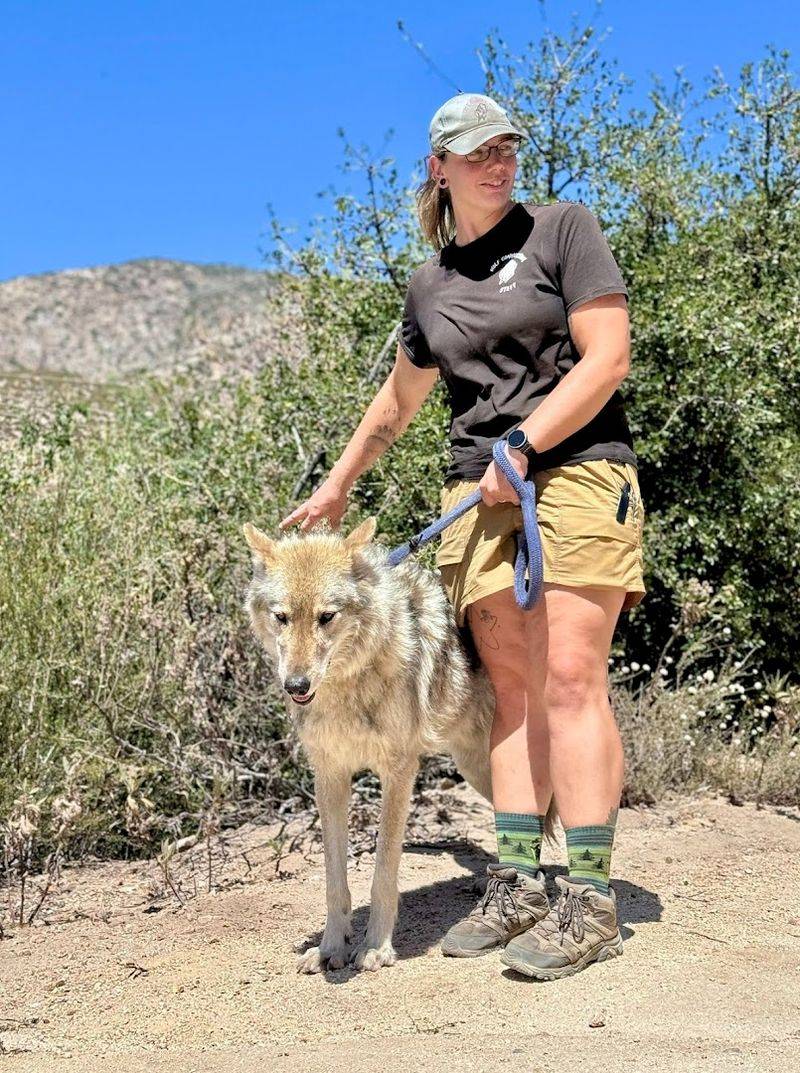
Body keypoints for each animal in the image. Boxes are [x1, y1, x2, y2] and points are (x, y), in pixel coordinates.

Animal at [243, 515, 557, 973]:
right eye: (282, 617)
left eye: (326, 617)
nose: (296, 685)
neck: (349, 684)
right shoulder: (330, 776)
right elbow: (334, 881)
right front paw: (331, 948)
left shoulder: (399, 771)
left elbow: (383, 872)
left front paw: (376, 947)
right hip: (473, 765)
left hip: (487, 766)